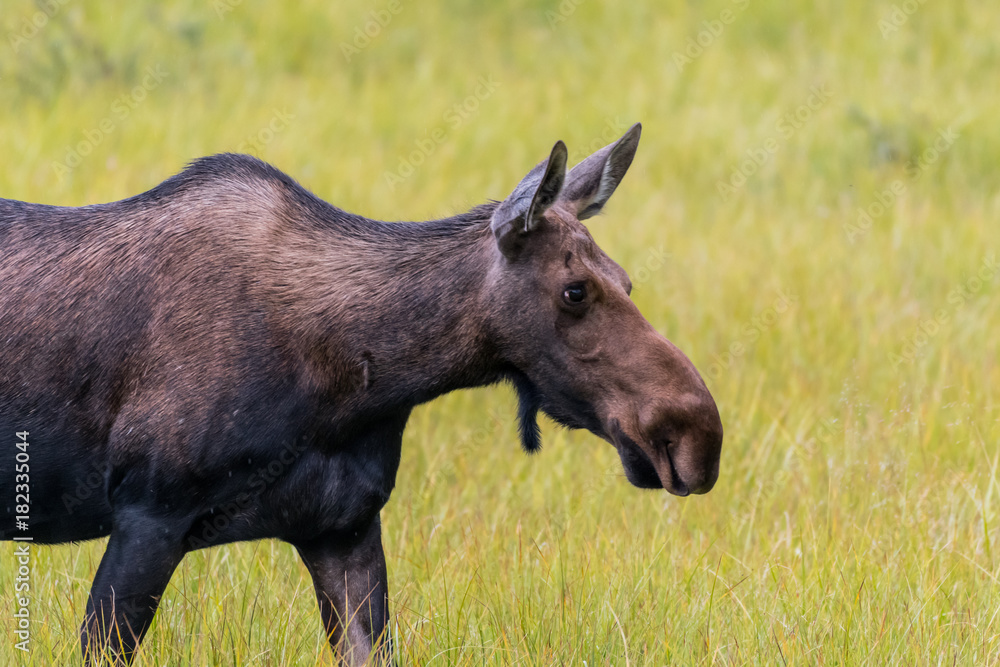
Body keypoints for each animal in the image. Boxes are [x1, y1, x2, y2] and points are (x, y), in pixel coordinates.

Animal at [0, 124, 720, 664]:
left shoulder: (342, 525)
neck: (356, 381)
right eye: (575, 290)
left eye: (626, 280)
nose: (697, 434)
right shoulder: (150, 510)